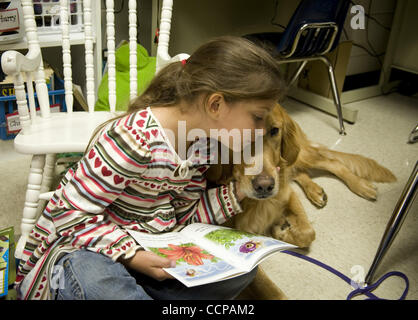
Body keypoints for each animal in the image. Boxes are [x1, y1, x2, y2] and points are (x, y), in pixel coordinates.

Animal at [207, 104, 396, 298]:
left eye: (274, 130)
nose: (265, 186)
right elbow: (270, 289)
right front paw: (281, 230)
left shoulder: (286, 194)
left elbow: (308, 232)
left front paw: (282, 232)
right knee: (300, 171)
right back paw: (316, 191)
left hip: (297, 153)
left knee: (330, 162)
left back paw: (360, 185)